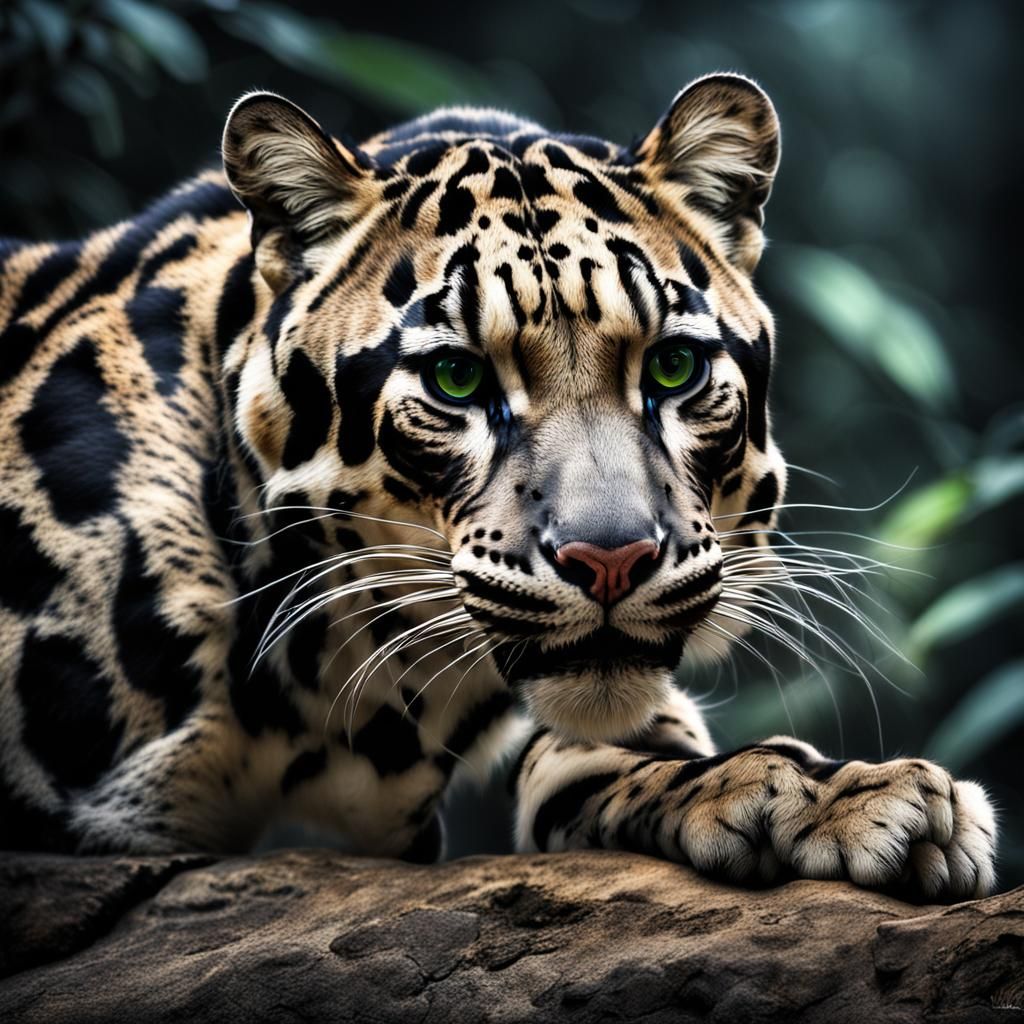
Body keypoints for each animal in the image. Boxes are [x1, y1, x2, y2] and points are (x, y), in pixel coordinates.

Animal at [0, 73, 996, 900]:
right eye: (456, 380)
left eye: (672, 368)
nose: (610, 560)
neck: (348, 703)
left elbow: (611, 748)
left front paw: (843, 796)